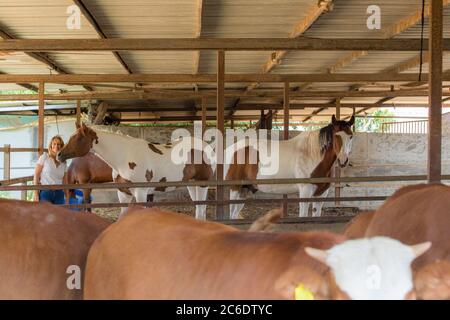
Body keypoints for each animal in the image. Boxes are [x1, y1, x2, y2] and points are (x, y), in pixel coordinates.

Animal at [225, 116, 356, 219]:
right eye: (335, 136)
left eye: (351, 136)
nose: (343, 160)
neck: (312, 154)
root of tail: (231, 149)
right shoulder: (305, 191)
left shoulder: (321, 193)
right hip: (234, 188)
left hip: (244, 190)